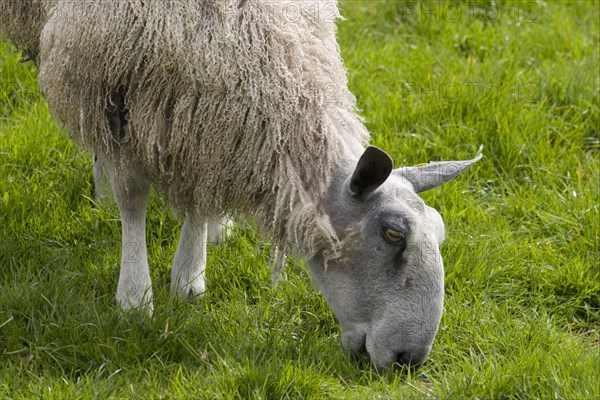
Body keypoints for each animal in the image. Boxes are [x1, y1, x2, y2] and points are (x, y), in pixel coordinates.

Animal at [0, 0, 480, 372]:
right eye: (393, 234)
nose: (408, 360)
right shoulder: (116, 88)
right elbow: (133, 197)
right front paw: (135, 298)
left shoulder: (205, 121)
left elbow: (200, 192)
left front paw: (189, 277)